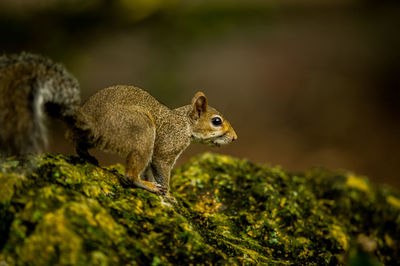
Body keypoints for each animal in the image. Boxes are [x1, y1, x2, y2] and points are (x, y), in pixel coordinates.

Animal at [0, 52, 238, 198]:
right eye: (216, 121)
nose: (235, 138)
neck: (184, 123)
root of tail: (92, 124)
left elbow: (150, 170)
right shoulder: (166, 147)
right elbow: (160, 170)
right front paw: (169, 196)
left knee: (79, 144)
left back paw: (88, 157)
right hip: (141, 131)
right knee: (130, 176)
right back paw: (147, 187)